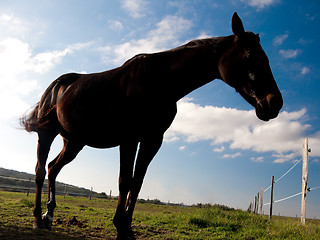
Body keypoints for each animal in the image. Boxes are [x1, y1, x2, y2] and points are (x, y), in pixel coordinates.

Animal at [21, 13, 282, 240]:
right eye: (250, 57)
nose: (274, 103)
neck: (159, 81)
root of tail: (58, 85)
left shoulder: (153, 139)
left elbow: (137, 182)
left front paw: (126, 228)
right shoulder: (129, 139)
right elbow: (124, 181)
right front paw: (119, 227)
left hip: (74, 141)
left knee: (54, 168)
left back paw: (49, 215)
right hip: (47, 135)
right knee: (40, 171)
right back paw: (37, 219)